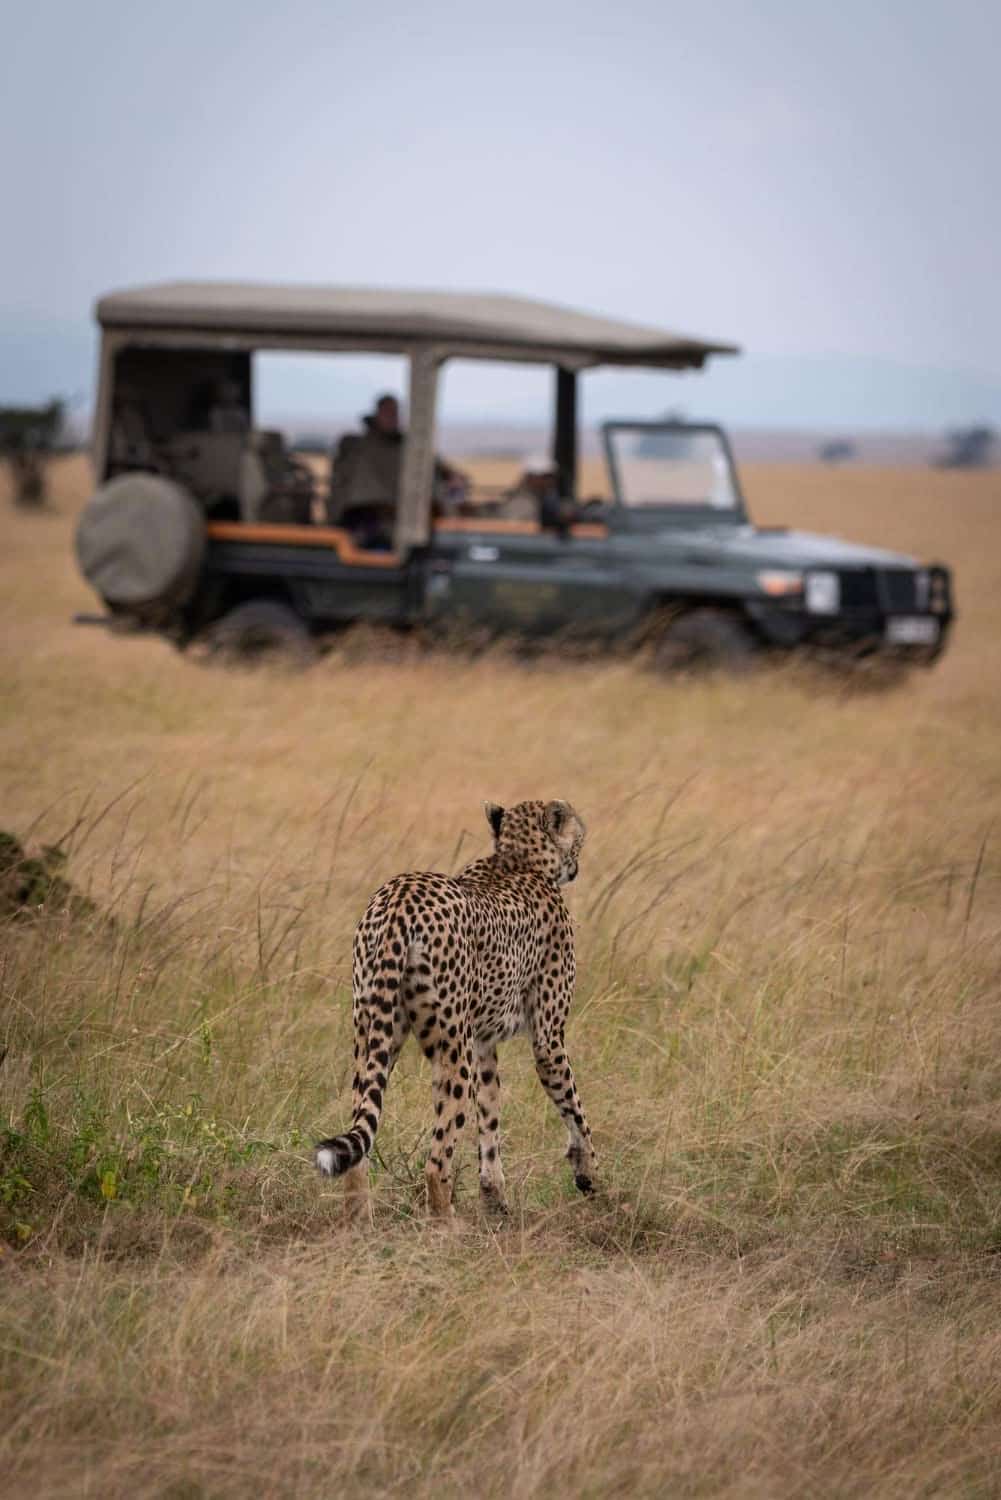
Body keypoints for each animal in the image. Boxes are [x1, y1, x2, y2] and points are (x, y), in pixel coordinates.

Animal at [315, 797, 596, 1220]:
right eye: (578, 835)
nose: (578, 862)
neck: (519, 860)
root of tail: (401, 895)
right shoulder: (547, 1039)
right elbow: (575, 1108)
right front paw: (590, 1175)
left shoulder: (482, 1044)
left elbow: (490, 1119)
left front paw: (495, 1200)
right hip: (452, 1049)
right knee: (436, 1160)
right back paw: (445, 1224)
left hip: (371, 1038)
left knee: (361, 1142)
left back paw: (358, 1220)